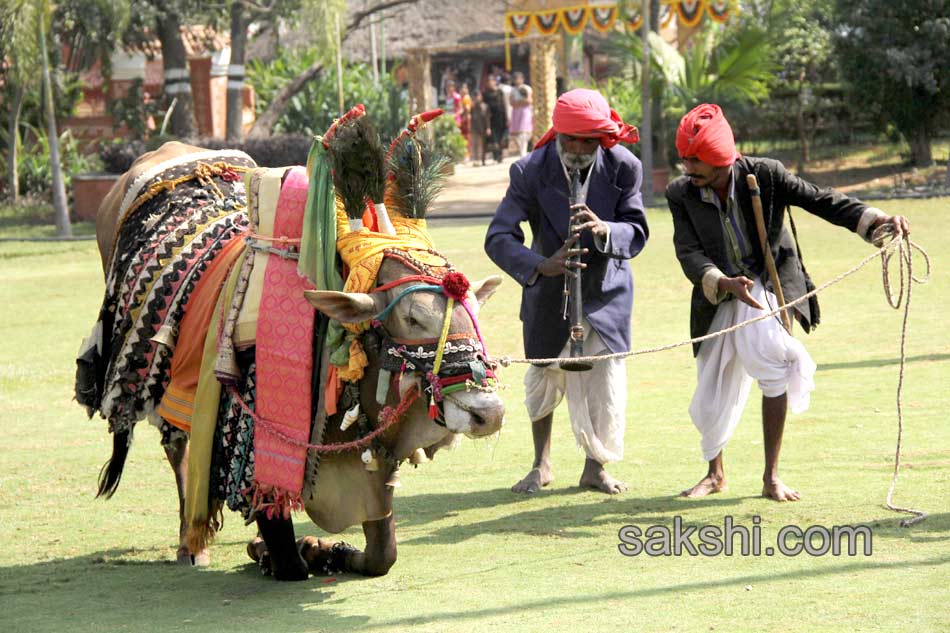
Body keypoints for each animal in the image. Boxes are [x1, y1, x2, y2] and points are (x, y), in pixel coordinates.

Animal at [76, 107, 506, 576]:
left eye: (474, 311)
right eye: (413, 317)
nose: (489, 413)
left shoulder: (372, 468)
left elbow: (382, 555)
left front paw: (328, 550)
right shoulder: (260, 462)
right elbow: (286, 558)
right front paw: (285, 551)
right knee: (178, 448)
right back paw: (191, 542)